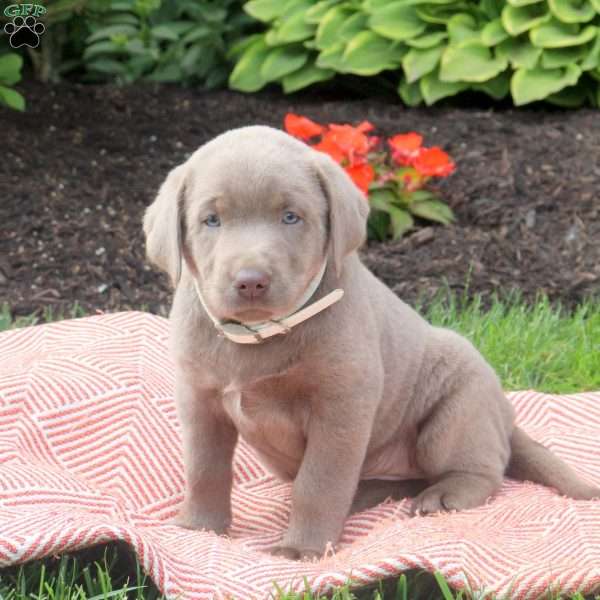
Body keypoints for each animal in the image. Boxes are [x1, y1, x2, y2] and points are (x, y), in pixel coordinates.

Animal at [145, 127, 600, 564]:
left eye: (291, 217)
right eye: (211, 220)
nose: (251, 281)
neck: (259, 333)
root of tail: (506, 416)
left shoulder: (341, 406)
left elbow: (319, 482)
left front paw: (303, 549)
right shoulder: (199, 399)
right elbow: (205, 468)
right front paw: (199, 528)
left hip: (457, 410)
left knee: (483, 470)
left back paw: (444, 495)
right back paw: (363, 496)